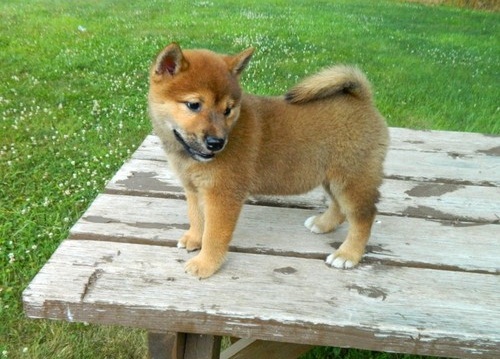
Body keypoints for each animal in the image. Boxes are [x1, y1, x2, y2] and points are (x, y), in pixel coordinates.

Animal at [148, 42, 390, 278]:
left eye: (228, 110)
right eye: (194, 105)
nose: (217, 143)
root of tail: (363, 99)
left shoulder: (222, 195)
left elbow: (214, 234)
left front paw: (206, 263)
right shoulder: (193, 188)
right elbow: (196, 217)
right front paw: (194, 238)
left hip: (351, 180)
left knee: (363, 217)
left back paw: (348, 254)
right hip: (331, 177)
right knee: (340, 207)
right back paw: (322, 224)